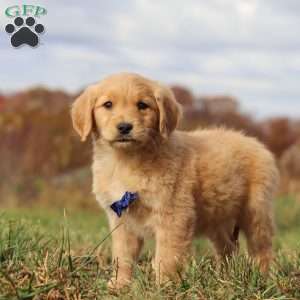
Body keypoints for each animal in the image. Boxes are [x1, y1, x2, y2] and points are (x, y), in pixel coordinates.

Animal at [71, 72, 280, 288]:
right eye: (108, 104)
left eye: (142, 105)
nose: (124, 127)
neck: (126, 159)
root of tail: (255, 142)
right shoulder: (123, 220)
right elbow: (123, 256)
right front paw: (120, 284)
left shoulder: (174, 216)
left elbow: (167, 256)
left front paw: (163, 285)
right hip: (217, 220)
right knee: (228, 248)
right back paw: (225, 278)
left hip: (256, 212)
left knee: (262, 249)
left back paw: (262, 278)